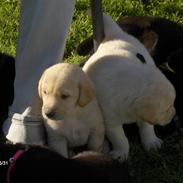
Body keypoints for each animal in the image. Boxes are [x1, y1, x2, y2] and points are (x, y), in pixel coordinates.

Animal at [82, 13, 176, 161]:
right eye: (167, 109)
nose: (174, 115)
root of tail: (114, 35)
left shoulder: (143, 117)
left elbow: (147, 128)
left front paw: (151, 142)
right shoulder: (111, 122)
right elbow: (120, 138)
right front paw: (121, 153)